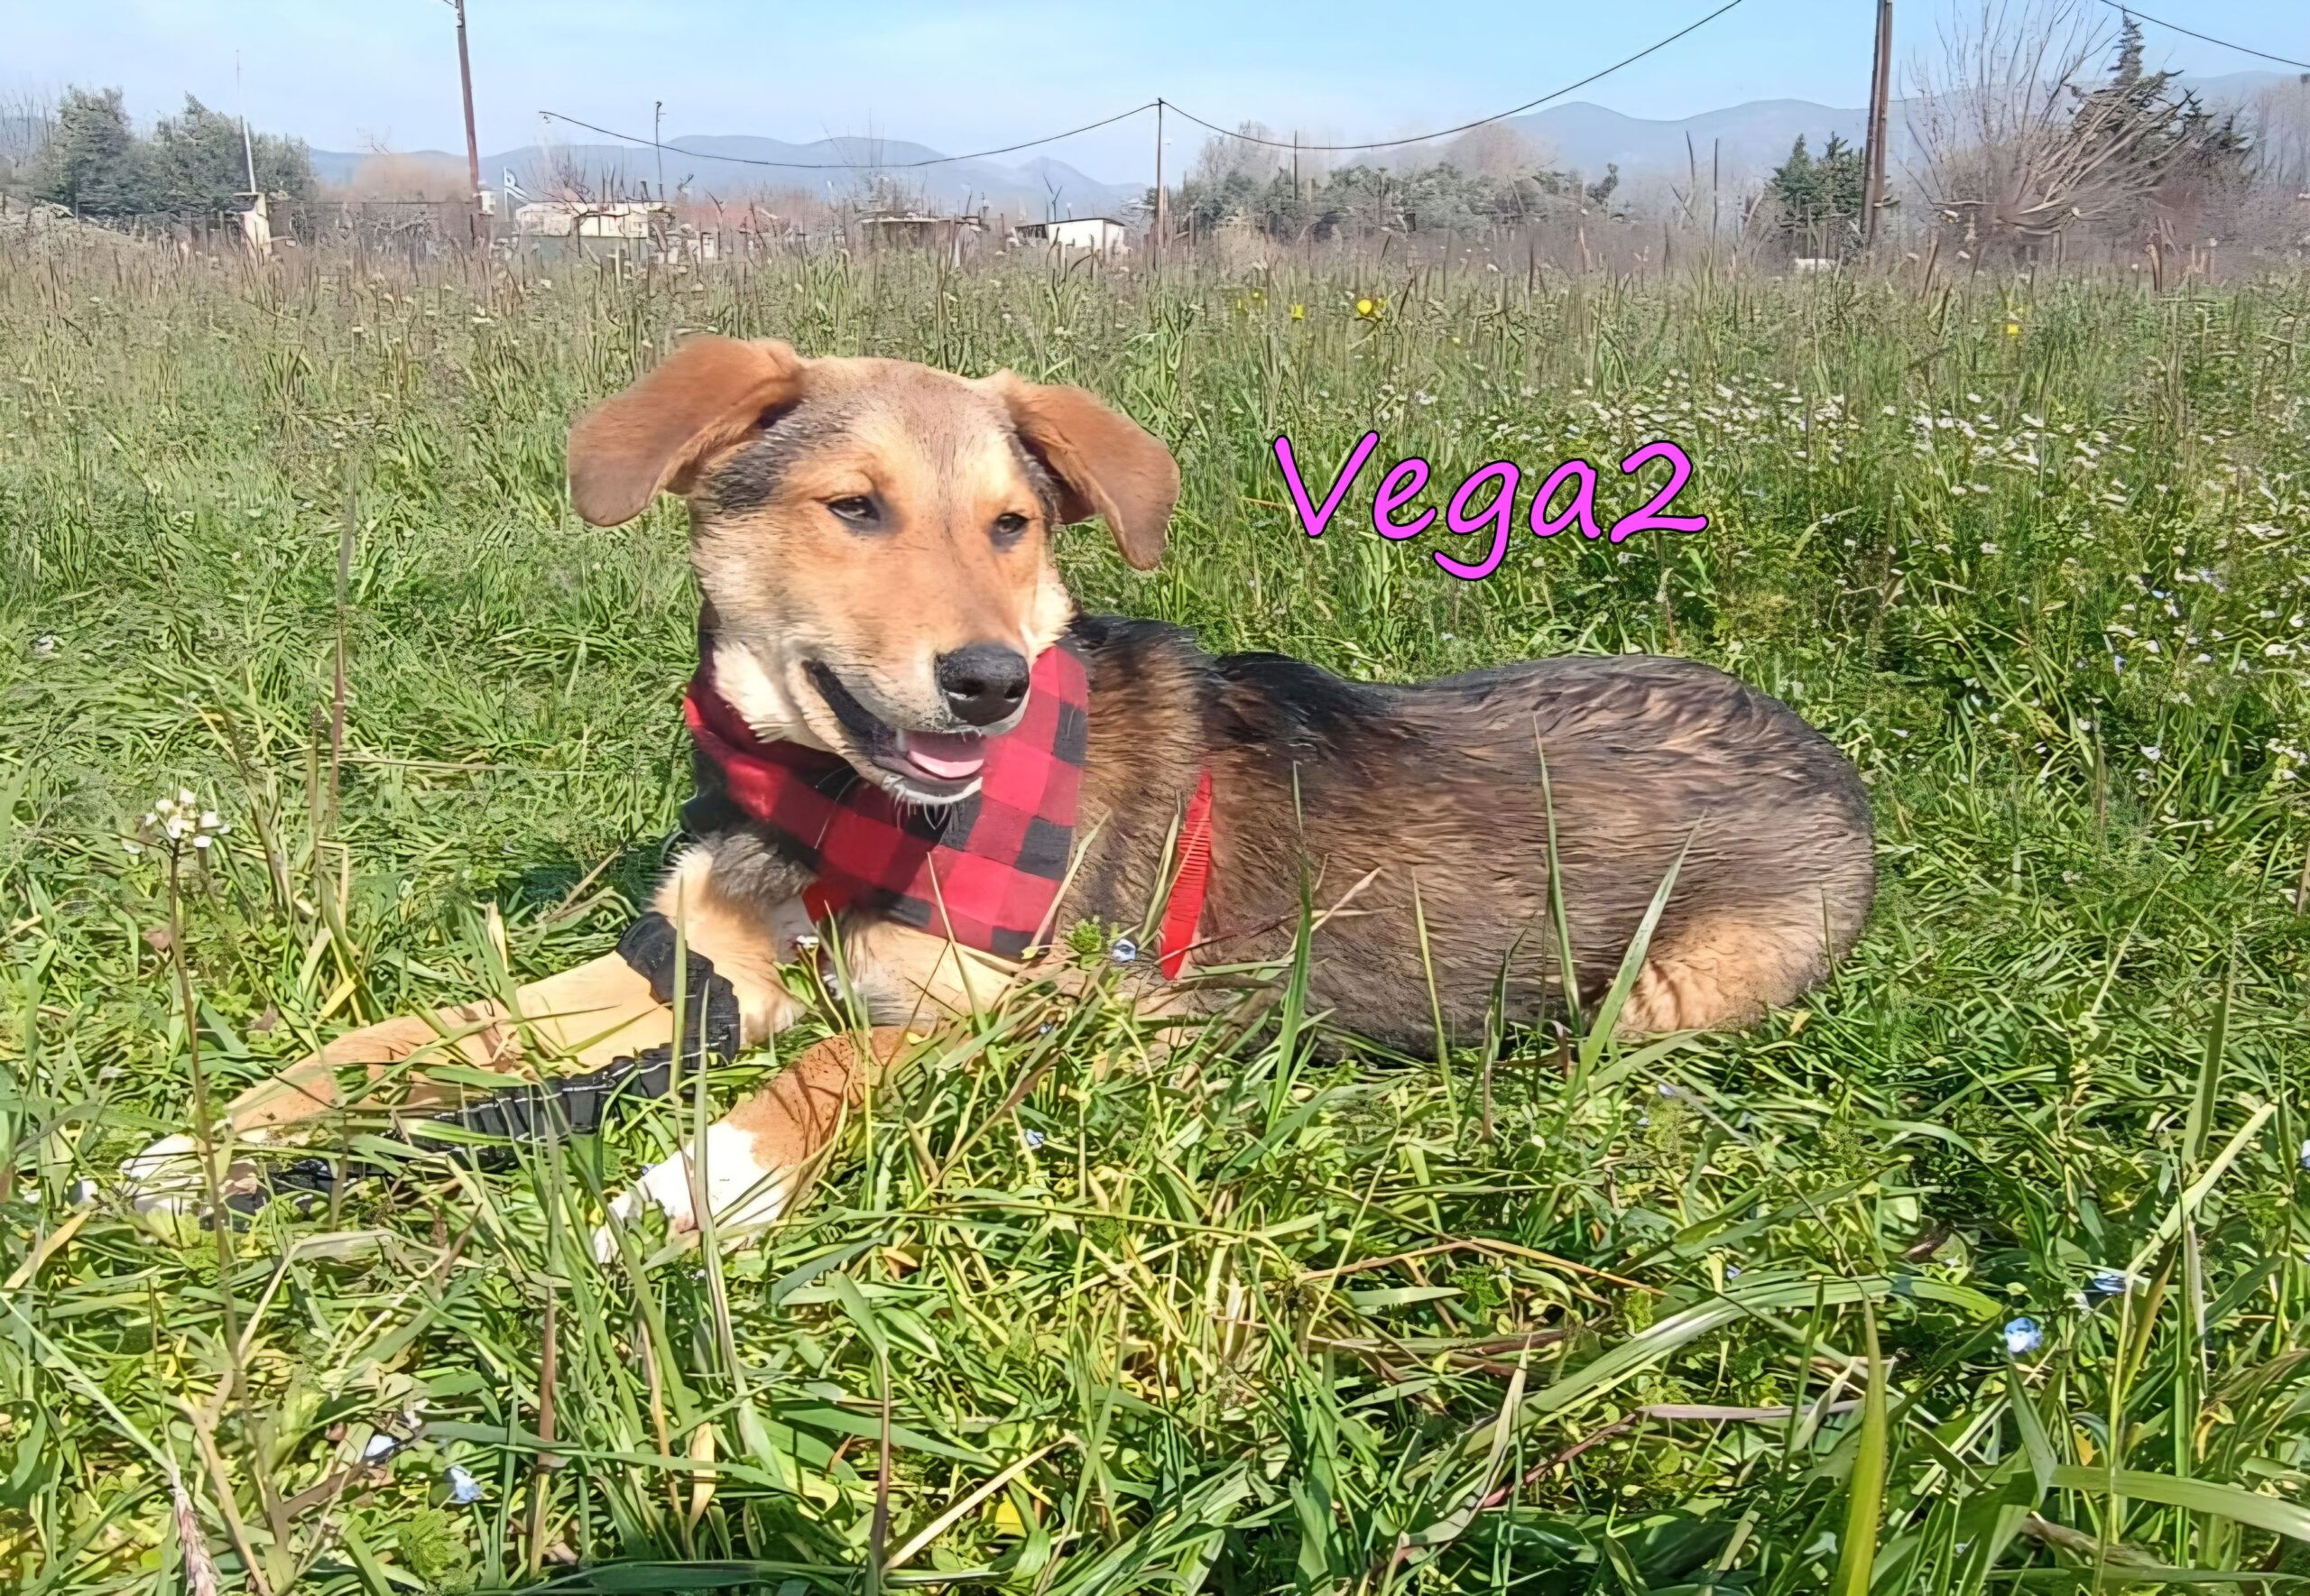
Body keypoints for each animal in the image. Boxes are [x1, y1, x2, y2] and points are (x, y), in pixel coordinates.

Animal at [122, 337, 1875, 1253]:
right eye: (854, 509)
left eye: (1014, 524)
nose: (987, 684)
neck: (835, 822)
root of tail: (1830, 751)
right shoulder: (690, 971)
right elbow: (400, 1038)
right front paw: (216, 1138)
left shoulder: (1067, 1022)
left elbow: (841, 1064)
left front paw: (699, 1178)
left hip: (1664, 998)